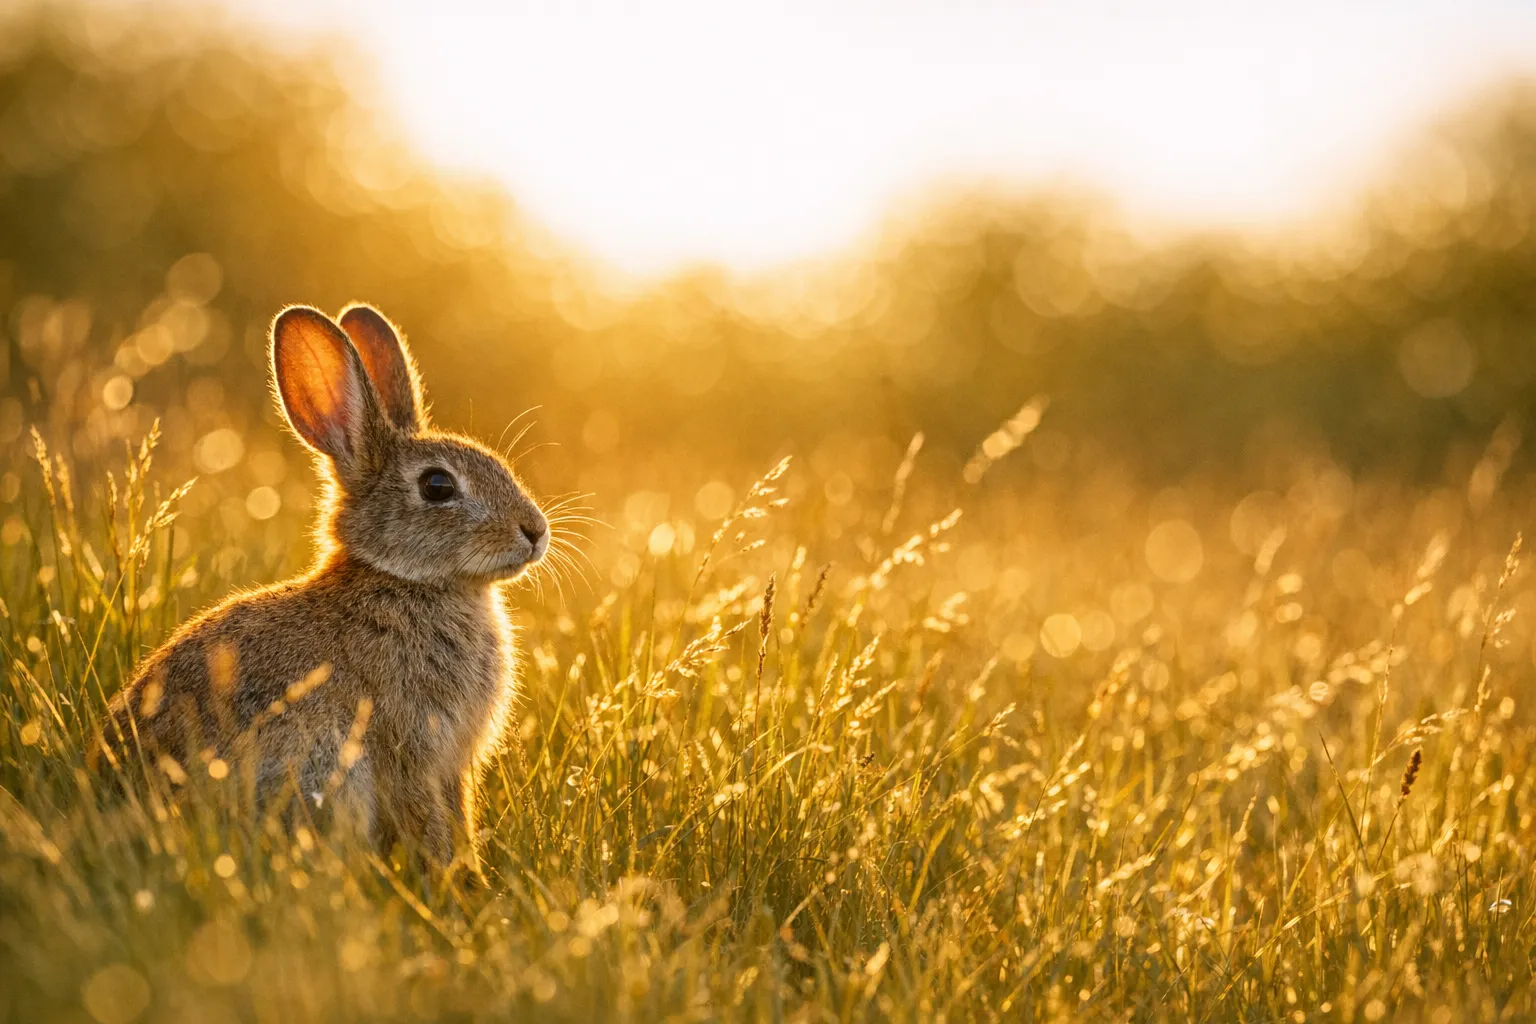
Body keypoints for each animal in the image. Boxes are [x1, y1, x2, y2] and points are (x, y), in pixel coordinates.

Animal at [105, 303, 548, 878]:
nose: (536, 531)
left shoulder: (452, 763)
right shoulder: (408, 746)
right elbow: (426, 817)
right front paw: (451, 879)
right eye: (437, 486)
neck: (404, 580)